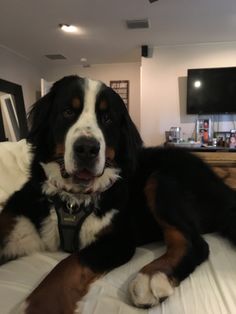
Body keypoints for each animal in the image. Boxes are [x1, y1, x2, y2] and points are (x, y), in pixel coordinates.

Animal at [0, 75, 236, 312]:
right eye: (67, 112)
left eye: (107, 119)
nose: (87, 148)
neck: (73, 200)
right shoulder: (17, 218)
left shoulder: (119, 239)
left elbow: (67, 265)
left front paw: (41, 306)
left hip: (160, 179)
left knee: (196, 244)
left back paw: (152, 277)